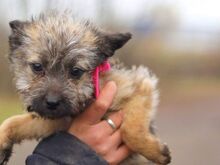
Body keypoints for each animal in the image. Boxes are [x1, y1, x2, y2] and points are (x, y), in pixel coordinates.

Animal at [0, 10, 171, 164]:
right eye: (37, 67)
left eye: (76, 71)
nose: (52, 103)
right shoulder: (56, 122)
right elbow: (15, 121)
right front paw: (2, 141)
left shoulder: (139, 86)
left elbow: (129, 131)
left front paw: (155, 152)